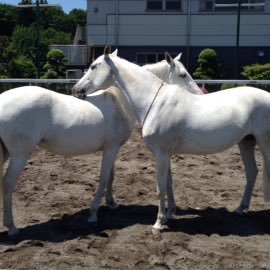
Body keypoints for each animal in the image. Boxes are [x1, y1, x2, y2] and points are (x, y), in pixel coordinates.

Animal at [73, 44, 270, 230]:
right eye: (183, 75)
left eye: (93, 66)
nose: (76, 89)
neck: (156, 101)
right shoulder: (165, 153)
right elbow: (168, 183)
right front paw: (169, 214)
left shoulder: (161, 153)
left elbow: (160, 187)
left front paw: (159, 223)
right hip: (246, 143)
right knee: (252, 172)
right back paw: (240, 208)